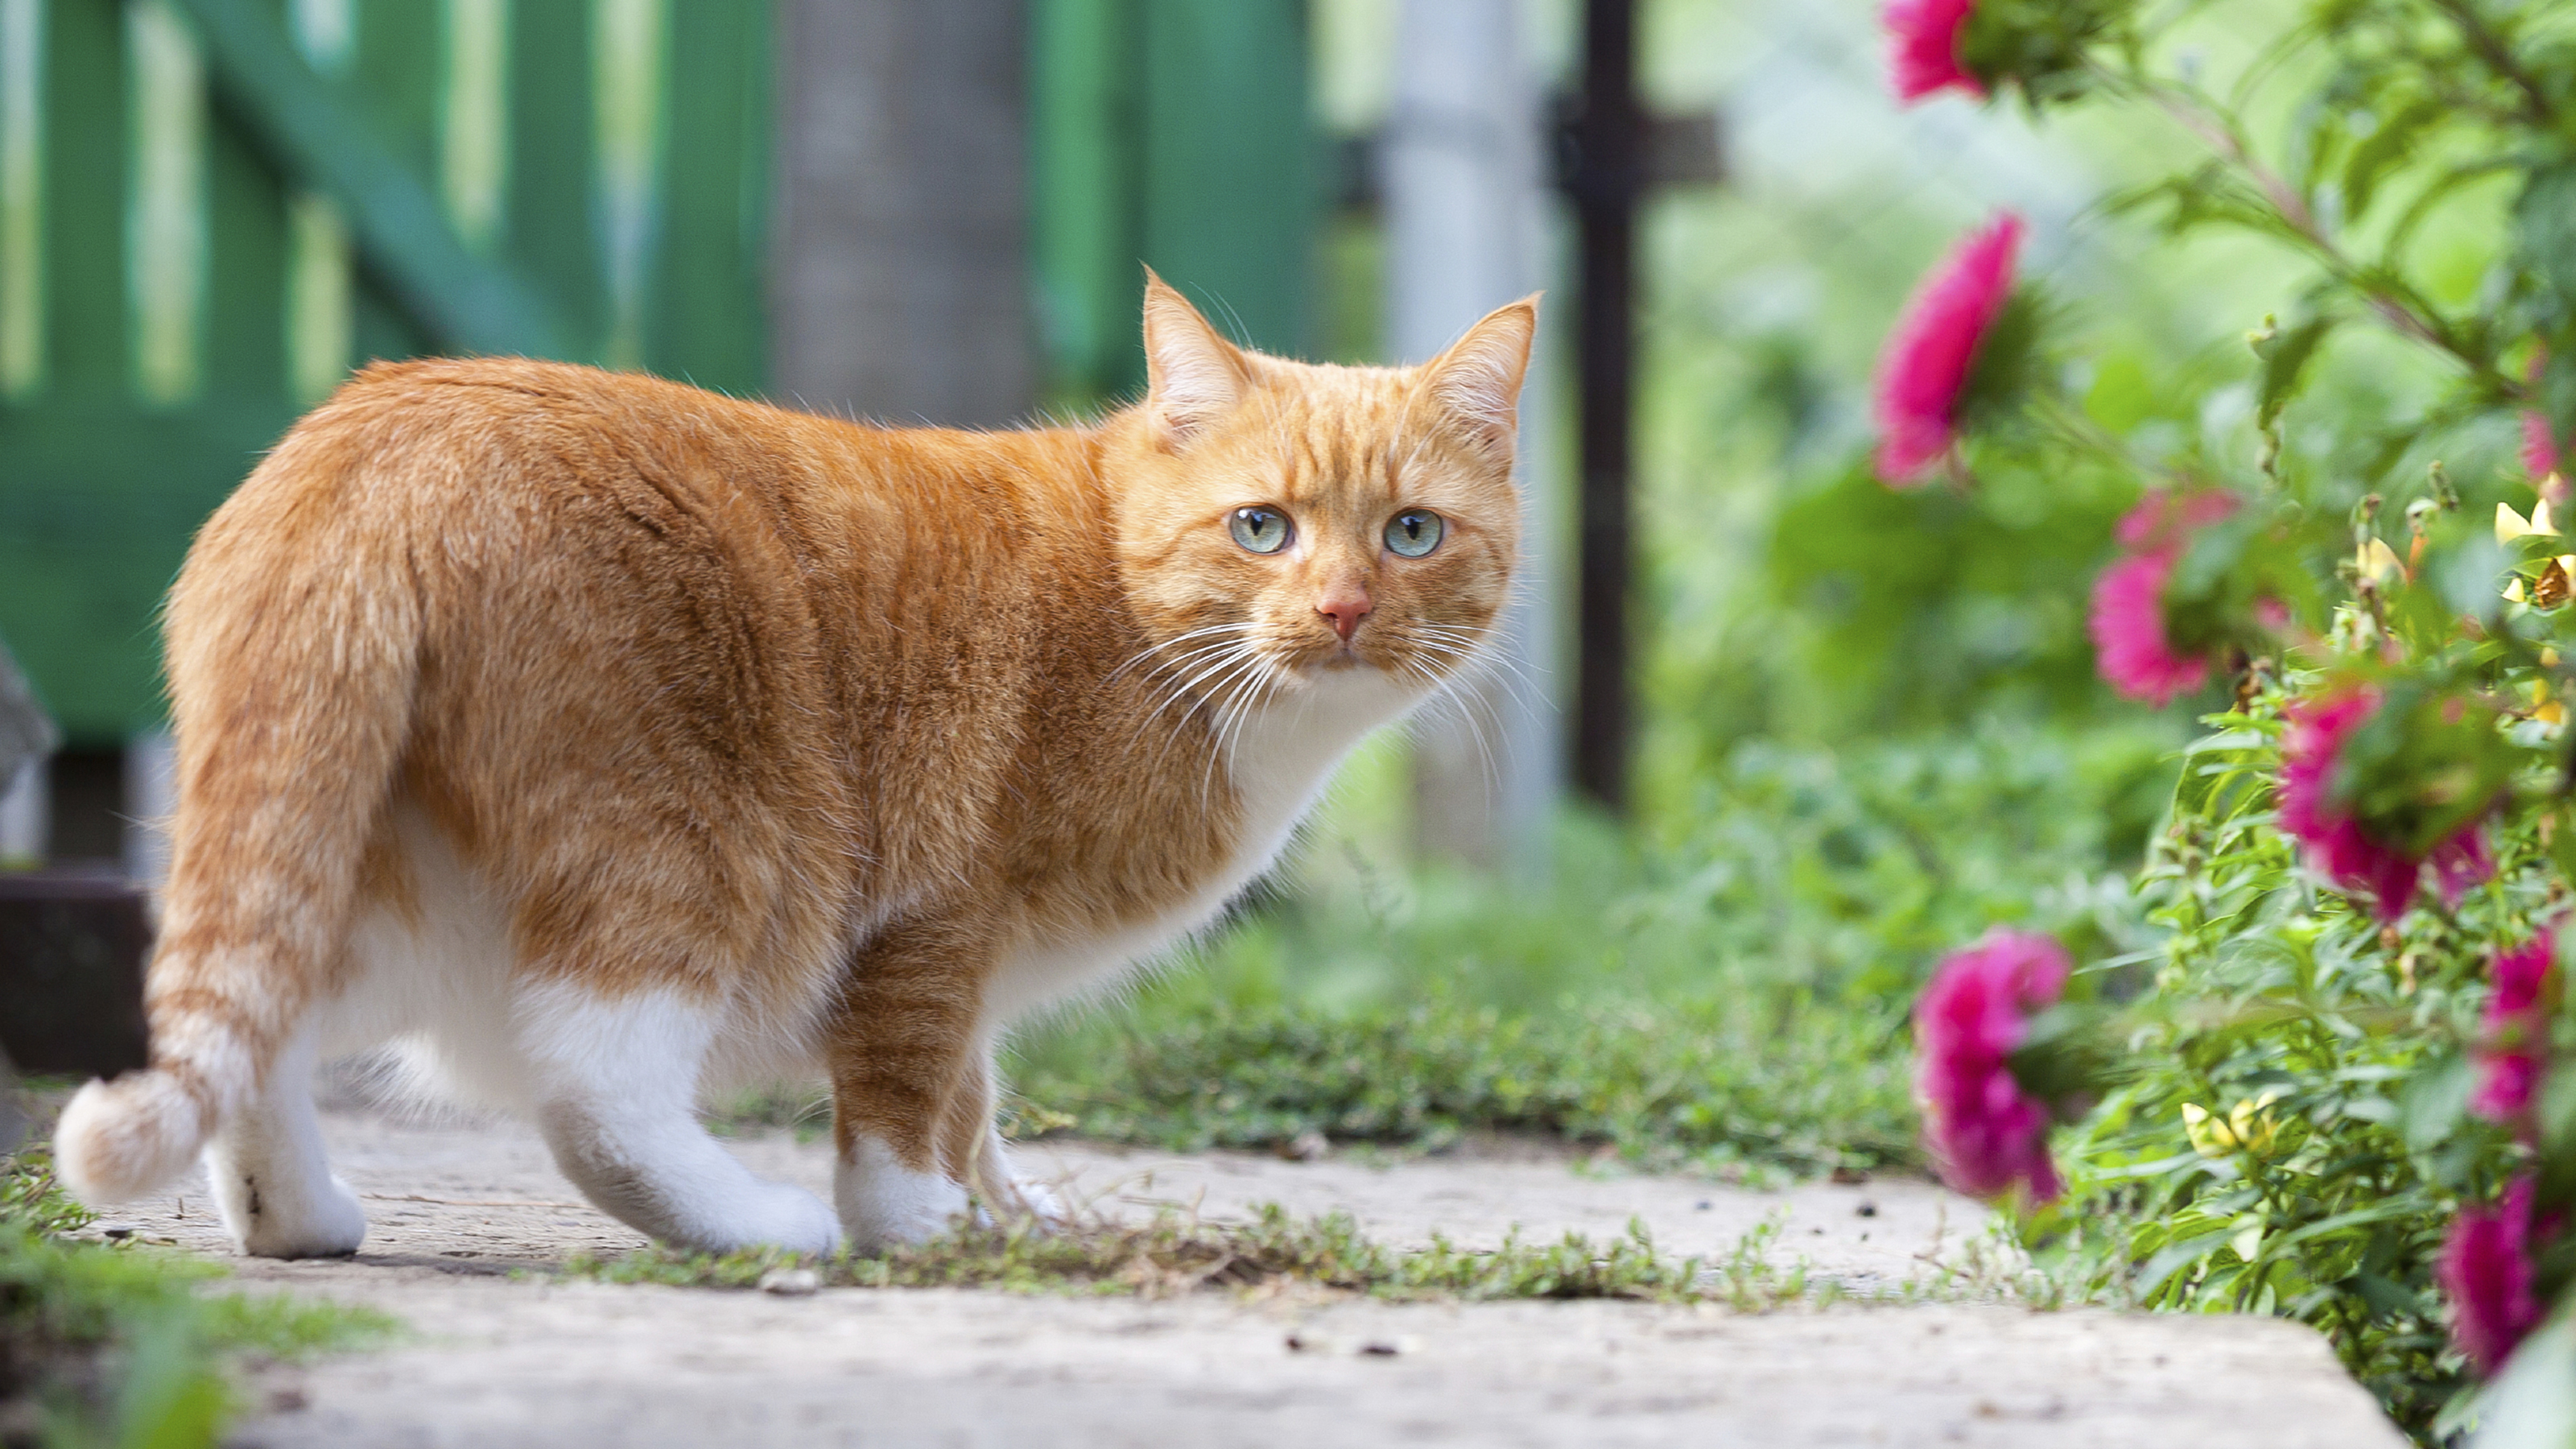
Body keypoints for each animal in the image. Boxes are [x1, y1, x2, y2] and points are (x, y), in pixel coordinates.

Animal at [50, 273, 1525, 1253]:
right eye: (1262, 526)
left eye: (1409, 533)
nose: (1343, 610)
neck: (1135, 617)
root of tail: (370, 440)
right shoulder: (939, 918)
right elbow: (908, 1105)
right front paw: (923, 1228)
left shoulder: (974, 969)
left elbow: (977, 1097)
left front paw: (1009, 1210)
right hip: (691, 844)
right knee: (593, 1089)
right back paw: (755, 1225)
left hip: (356, 867)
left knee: (253, 1033)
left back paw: (291, 1218)